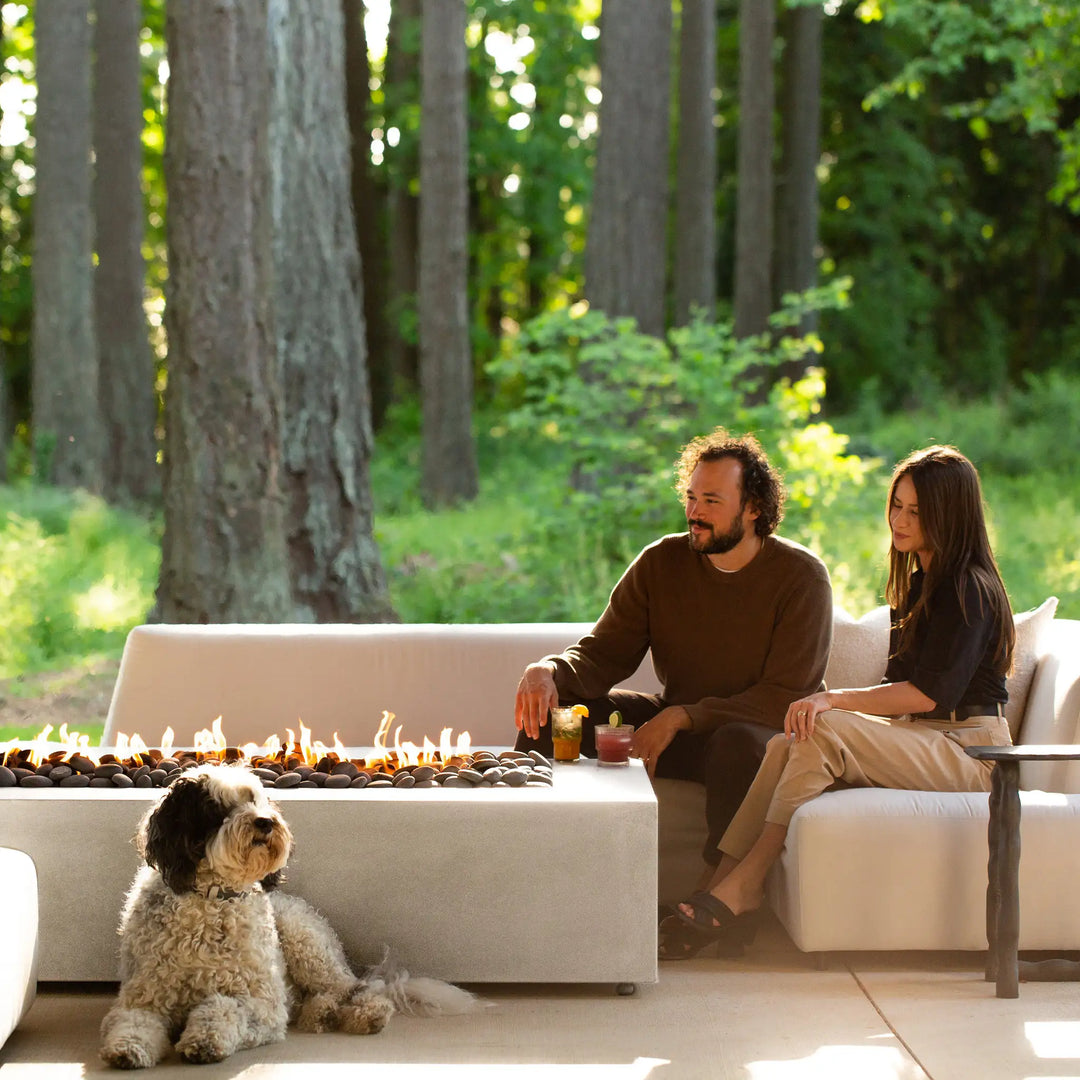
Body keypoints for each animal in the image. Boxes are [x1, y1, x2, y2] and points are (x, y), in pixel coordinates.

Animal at [100, 764, 473, 1067]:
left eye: (255, 800)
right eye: (215, 807)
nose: (265, 822)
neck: (212, 899)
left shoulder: (263, 1006)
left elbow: (224, 1007)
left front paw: (204, 1040)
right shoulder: (142, 999)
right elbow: (132, 1023)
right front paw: (127, 1048)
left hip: (306, 943)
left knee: (357, 989)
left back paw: (360, 1013)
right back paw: (320, 1012)